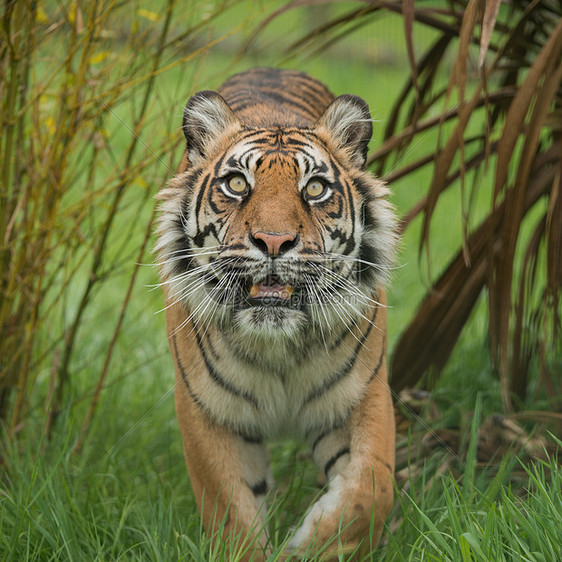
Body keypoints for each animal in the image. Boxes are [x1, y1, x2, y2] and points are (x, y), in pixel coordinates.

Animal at [155, 68, 396, 556]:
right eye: (236, 184)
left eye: (316, 188)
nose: (273, 241)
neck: (279, 346)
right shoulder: (207, 410)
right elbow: (232, 511)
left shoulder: (364, 394)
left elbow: (369, 490)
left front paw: (309, 548)